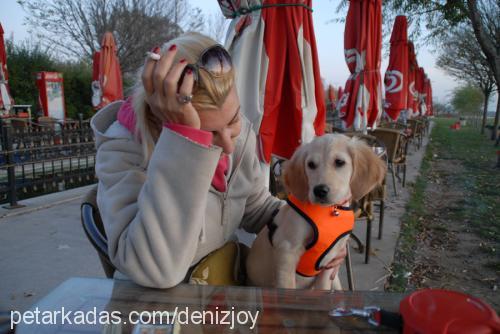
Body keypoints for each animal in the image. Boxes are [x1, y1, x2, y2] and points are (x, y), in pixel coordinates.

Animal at [246, 133, 386, 290]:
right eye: (311, 165)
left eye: (339, 162)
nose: (320, 191)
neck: (330, 211)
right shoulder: (287, 249)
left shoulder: (330, 260)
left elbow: (322, 288)